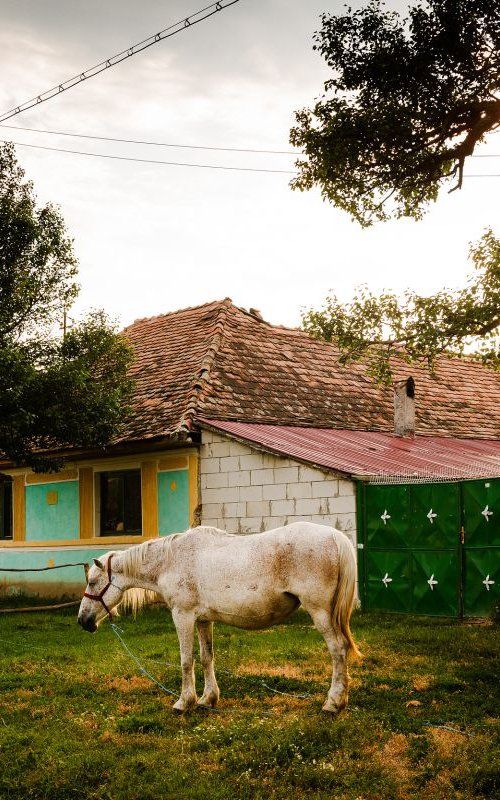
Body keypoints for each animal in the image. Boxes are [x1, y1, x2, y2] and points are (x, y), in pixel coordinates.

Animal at [77, 520, 360, 716]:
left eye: (92, 582)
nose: (83, 621)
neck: (171, 561)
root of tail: (335, 536)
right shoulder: (203, 620)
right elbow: (206, 658)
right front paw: (207, 699)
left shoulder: (182, 615)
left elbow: (186, 661)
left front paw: (184, 703)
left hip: (320, 612)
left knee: (338, 651)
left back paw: (333, 703)